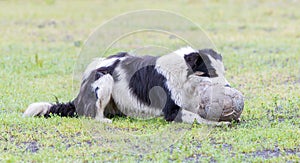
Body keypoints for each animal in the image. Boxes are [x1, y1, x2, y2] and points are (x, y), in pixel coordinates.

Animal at [24, 46, 230, 125]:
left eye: (223, 71)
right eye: (211, 73)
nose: (228, 86)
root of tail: (76, 99)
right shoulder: (171, 111)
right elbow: (199, 118)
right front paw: (221, 123)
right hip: (105, 78)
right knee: (92, 115)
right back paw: (104, 121)